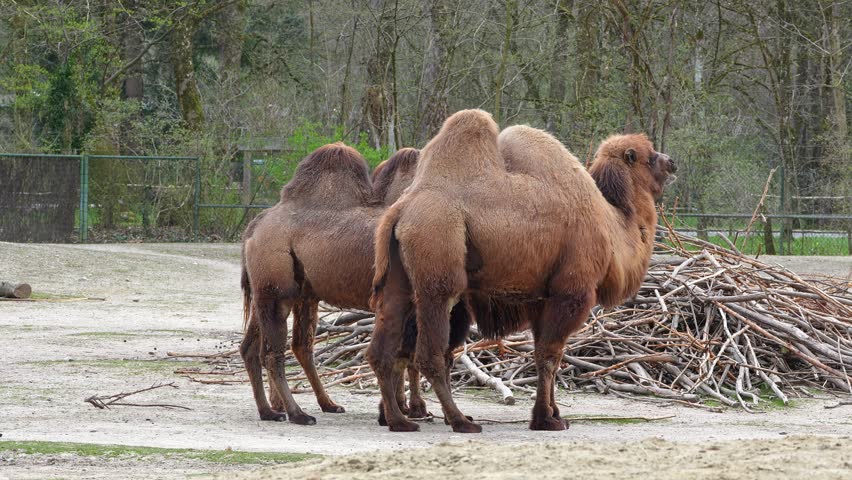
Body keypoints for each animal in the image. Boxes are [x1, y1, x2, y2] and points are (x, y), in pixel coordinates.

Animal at [239, 144, 426, 425]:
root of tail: (255, 227)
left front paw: (407, 408)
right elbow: (406, 355)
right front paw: (399, 410)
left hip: (290, 293)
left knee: (264, 347)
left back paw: (276, 410)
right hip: (277, 290)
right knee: (273, 352)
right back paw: (298, 413)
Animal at [368, 110, 677, 433]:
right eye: (648, 156)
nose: (672, 162)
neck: (613, 225)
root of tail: (402, 210)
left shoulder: (543, 297)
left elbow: (549, 353)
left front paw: (555, 414)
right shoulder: (571, 293)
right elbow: (548, 356)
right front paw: (545, 419)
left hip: (398, 279)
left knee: (384, 349)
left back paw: (399, 420)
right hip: (438, 270)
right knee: (430, 352)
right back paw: (460, 421)